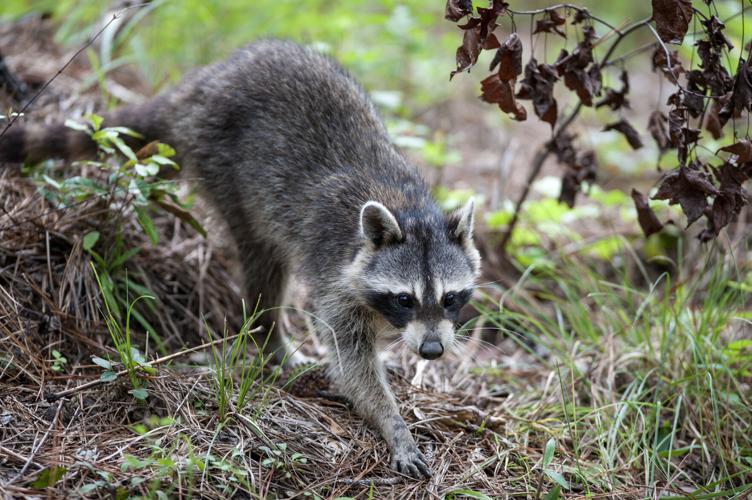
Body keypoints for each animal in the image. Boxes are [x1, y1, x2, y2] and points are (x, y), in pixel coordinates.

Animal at [0, 40, 481, 478]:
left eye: (450, 298)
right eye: (405, 299)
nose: (433, 350)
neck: (410, 211)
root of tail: (203, 83)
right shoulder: (334, 273)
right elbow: (351, 363)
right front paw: (392, 424)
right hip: (224, 164)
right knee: (262, 262)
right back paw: (271, 341)